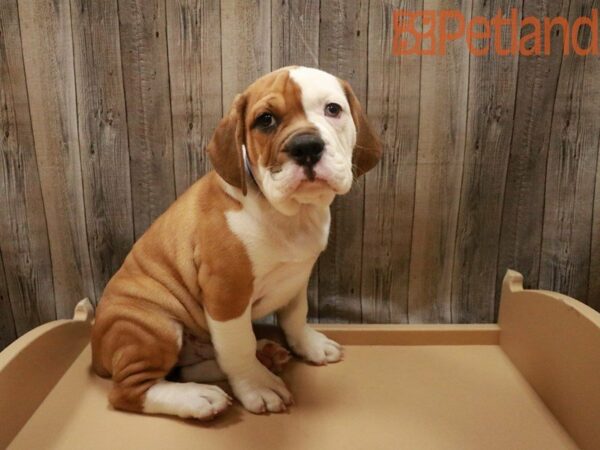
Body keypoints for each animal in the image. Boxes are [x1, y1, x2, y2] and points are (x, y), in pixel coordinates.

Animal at [91, 66, 382, 418]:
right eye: (265, 120)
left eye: (333, 109)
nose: (306, 146)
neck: (290, 214)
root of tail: (96, 353)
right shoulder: (227, 293)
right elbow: (238, 346)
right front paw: (258, 386)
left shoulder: (297, 279)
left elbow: (295, 317)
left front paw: (309, 346)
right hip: (150, 325)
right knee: (130, 391)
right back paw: (198, 398)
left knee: (192, 366)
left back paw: (265, 356)